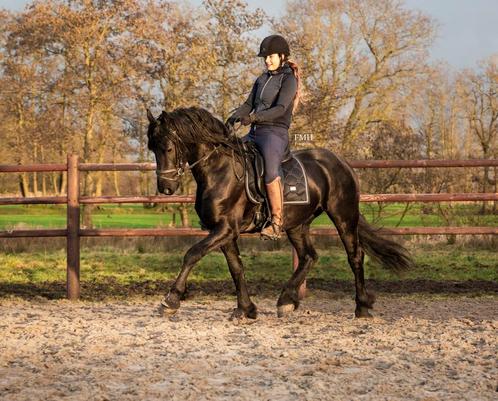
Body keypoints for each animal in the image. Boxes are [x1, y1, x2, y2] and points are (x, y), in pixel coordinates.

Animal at [146, 107, 410, 318]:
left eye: (168, 148)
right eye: (152, 148)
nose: (165, 188)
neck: (220, 170)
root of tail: (341, 162)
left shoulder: (225, 229)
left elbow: (192, 254)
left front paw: (171, 300)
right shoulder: (224, 232)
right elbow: (236, 268)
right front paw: (246, 309)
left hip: (343, 216)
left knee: (355, 255)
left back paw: (362, 307)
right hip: (297, 224)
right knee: (308, 256)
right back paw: (286, 300)